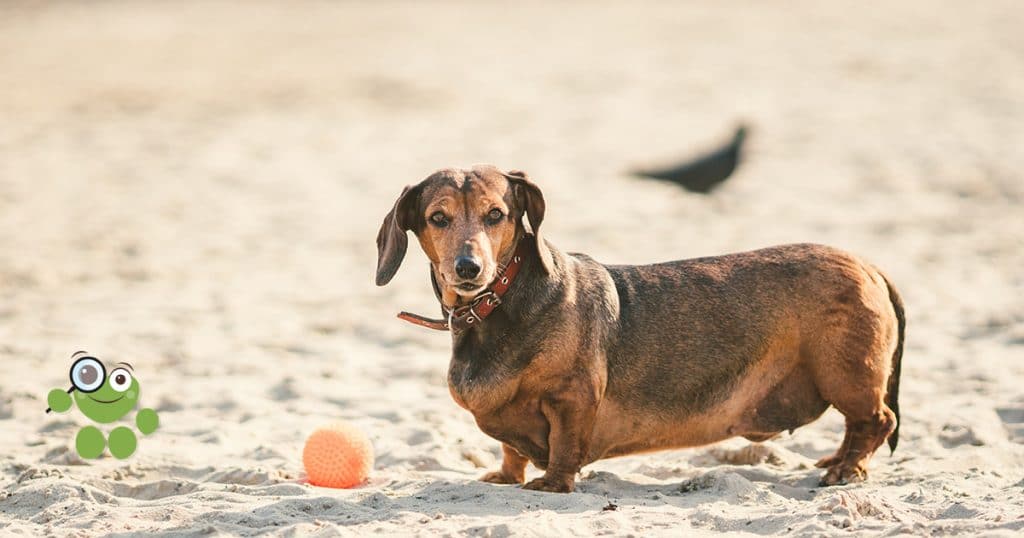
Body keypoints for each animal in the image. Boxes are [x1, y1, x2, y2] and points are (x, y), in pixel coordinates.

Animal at [376, 166, 905, 493]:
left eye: (496, 215)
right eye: (437, 218)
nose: (468, 269)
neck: (497, 302)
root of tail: (870, 265)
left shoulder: (572, 397)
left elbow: (564, 445)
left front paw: (553, 484)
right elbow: (510, 449)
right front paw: (506, 476)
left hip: (846, 375)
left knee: (877, 421)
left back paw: (846, 470)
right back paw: (834, 461)